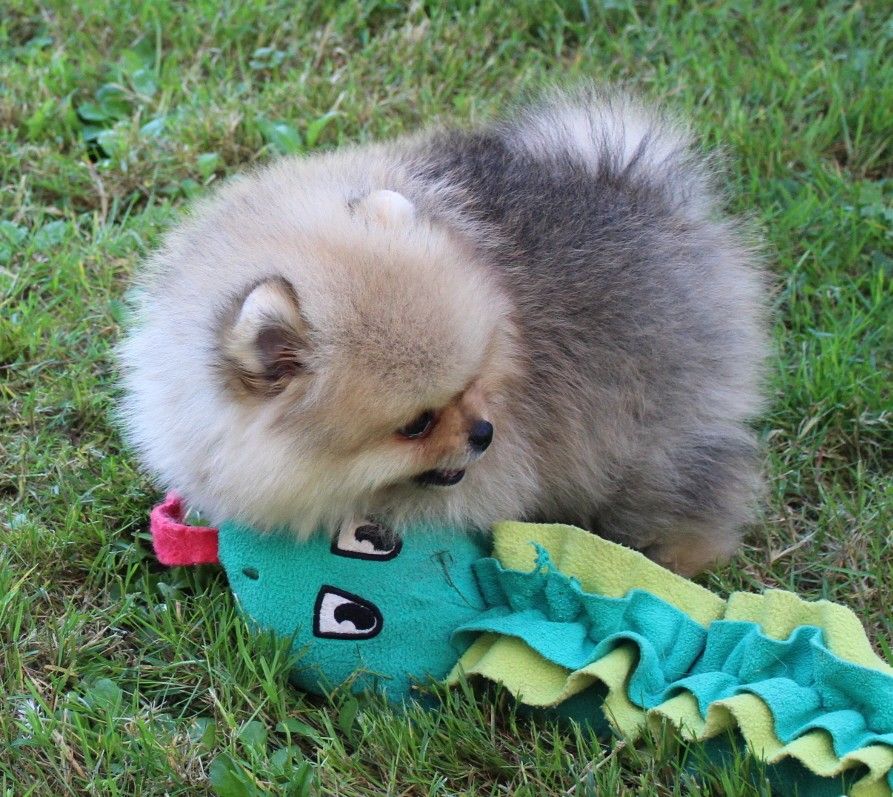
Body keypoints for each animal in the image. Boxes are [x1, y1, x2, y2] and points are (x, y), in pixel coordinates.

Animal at [118, 86, 768, 576]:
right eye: (416, 425)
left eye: (476, 379)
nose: (485, 433)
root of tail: (637, 188)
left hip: (649, 421)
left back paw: (673, 554)